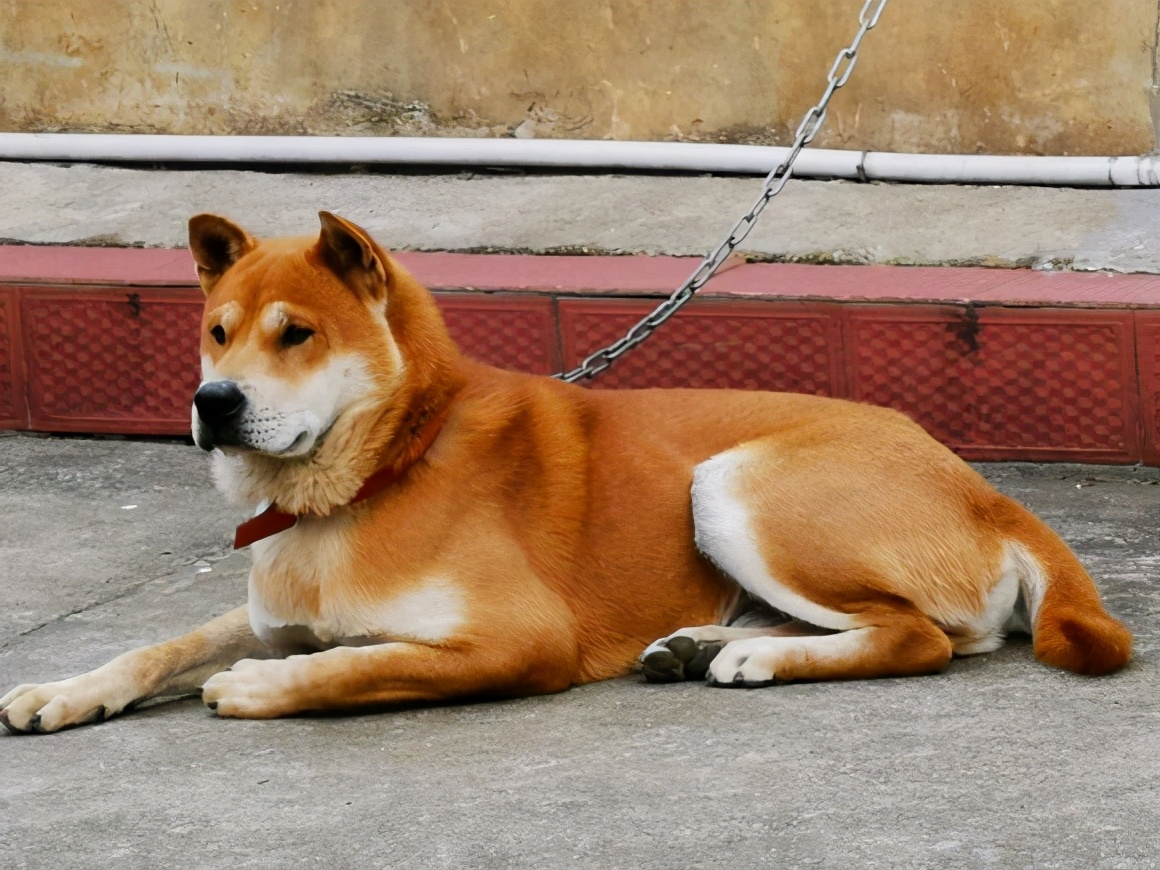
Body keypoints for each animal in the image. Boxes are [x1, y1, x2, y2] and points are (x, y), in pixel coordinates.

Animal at [0, 213, 1127, 737]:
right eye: (217, 333)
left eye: (297, 335)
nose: (213, 402)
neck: (381, 470)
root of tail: (984, 485)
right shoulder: (272, 609)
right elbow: (158, 643)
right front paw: (64, 689)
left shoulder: (514, 640)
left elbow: (354, 667)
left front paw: (262, 686)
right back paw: (699, 643)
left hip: (730, 483)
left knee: (921, 637)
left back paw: (753, 659)